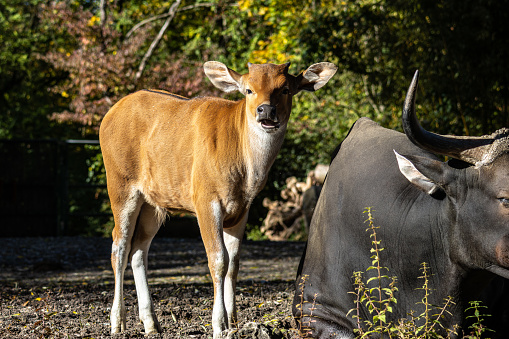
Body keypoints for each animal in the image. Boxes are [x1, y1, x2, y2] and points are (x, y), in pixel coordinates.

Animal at [99, 60, 338, 338]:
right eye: (248, 90)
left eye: (285, 89)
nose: (266, 110)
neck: (245, 168)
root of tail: (110, 114)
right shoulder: (205, 201)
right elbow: (218, 260)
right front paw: (219, 324)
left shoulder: (242, 209)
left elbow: (234, 262)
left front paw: (234, 322)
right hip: (121, 185)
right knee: (119, 247)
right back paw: (117, 321)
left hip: (153, 202)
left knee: (139, 249)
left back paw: (151, 323)